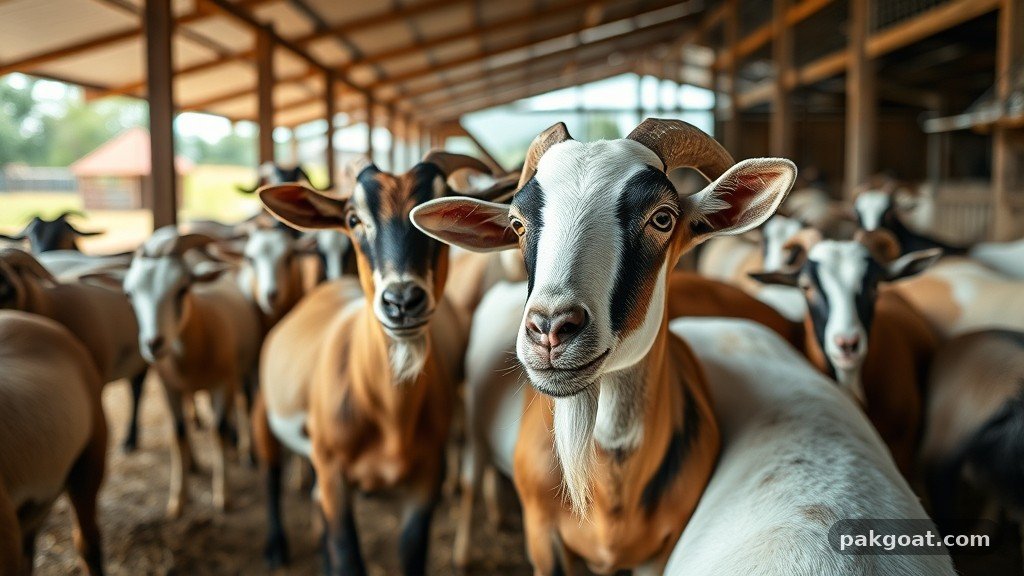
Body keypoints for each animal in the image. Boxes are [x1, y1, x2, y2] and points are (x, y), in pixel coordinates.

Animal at [0, 248, 150, 453]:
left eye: (14, 269)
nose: (6, 283)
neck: (51, 306)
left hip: (142, 360)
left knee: (137, 393)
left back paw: (131, 440)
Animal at [120, 228, 262, 518]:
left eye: (182, 289)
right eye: (129, 294)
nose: (154, 344)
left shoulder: (222, 383)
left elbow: (218, 430)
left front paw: (223, 496)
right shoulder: (170, 387)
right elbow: (179, 432)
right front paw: (178, 500)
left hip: (243, 369)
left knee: (243, 403)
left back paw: (244, 451)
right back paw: (195, 463)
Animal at [254, 152, 500, 573]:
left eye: (439, 209)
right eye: (353, 219)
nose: (402, 301)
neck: (387, 414)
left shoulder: (427, 477)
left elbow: (410, 551)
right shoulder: (333, 475)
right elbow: (347, 553)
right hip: (265, 410)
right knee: (270, 474)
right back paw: (273, 547)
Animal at [413, 119, 796, 574]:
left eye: (662, 218)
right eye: (517, 224)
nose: (550, 328)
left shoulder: (658, 550)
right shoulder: (542, 534)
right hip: (473, 416)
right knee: (473, 477)